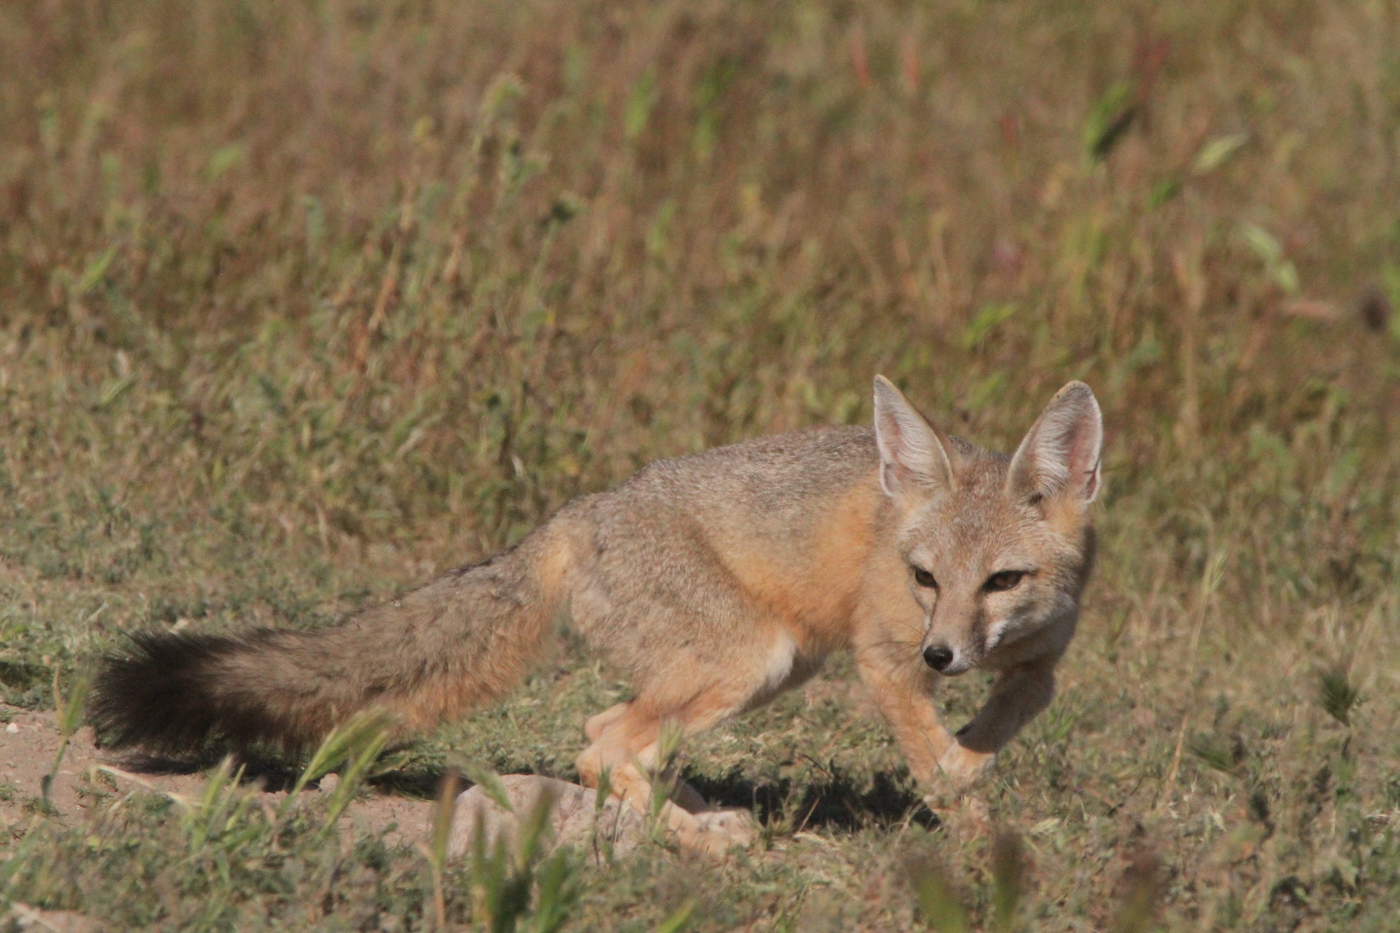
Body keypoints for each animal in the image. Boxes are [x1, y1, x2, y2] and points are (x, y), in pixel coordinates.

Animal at [95, 372, 1103, 851]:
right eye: (924, 577)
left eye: (1001, 581)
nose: (945, 656)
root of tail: (573, 513)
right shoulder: (884, 659)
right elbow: (935, 761)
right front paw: (975, 824)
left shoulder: (1041, 658)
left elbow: (1017, 706)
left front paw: (973, 764)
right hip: (754, 658)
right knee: (604, 745)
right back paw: (695, 836)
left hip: (765, 669)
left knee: (609, 739)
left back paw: (690, 812)